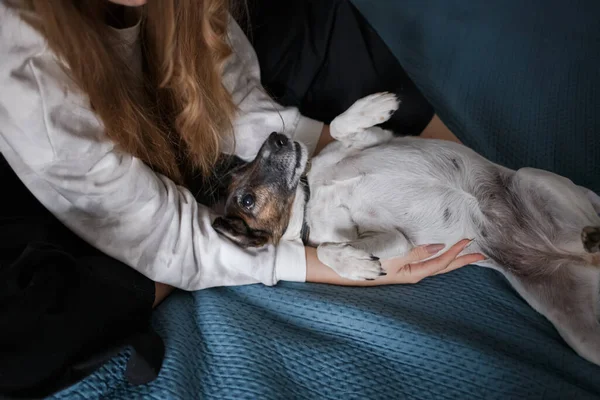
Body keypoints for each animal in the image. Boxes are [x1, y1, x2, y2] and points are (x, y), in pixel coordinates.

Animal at [213, 93, 600, 366]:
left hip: (535, 180)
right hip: (586, 341)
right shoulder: (396, 240)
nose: (276, 137)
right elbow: (327, 249)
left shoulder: (372, 138)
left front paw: (376, 105)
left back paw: (592, 233)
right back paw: (592, 241)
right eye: (246, 200)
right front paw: (358, 265)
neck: (311, 194)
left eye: (248, 163)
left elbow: (339, 124)